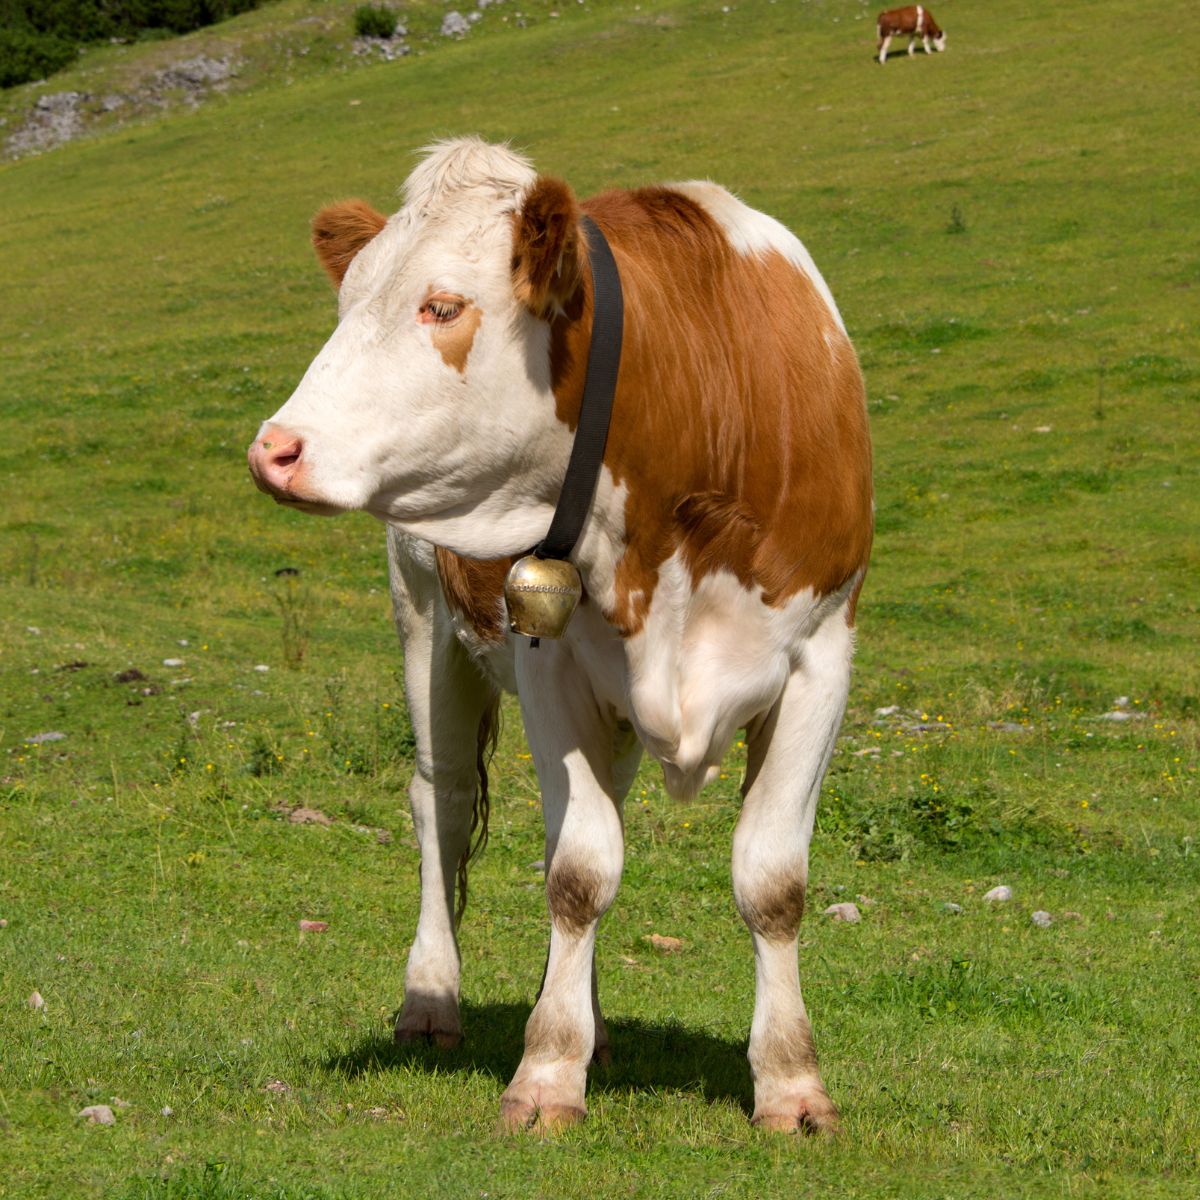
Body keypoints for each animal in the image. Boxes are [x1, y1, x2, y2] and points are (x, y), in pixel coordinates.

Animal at [247, 138, 873, 1134]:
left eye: (443, 305)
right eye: (349, 305)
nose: (275, 448)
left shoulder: (823, 657)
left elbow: (772, 883)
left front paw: (791, 1085)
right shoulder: (548, 660)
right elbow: (579, 870)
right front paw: (545, 1075)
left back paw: (590, 1020)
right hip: (423, 617)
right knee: (444, 802)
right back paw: (434, 1001)